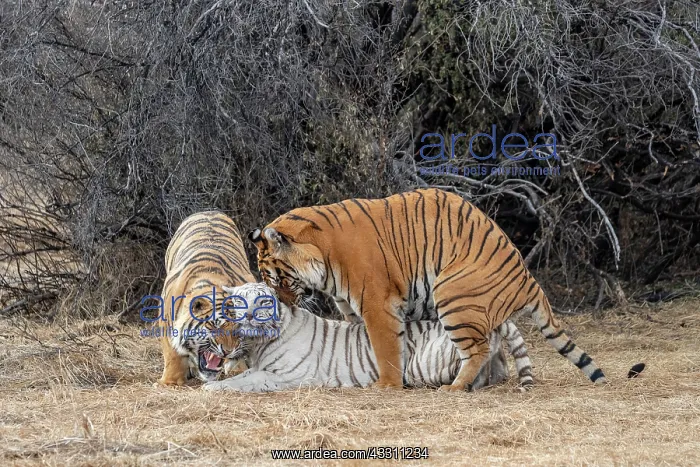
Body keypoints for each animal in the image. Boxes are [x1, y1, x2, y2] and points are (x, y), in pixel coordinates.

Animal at [156, 210, 256, 386]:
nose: (227, 351)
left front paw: (237, 370)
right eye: (214, 327)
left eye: (237, 330)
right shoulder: (166, 321)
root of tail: (210, 210)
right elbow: (173, 352)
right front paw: (170, 381)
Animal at [202, 282, 534, 392]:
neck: (260, 343)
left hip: (424, 363)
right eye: (240, 302)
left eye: (263, 303)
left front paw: (211, 389)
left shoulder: (287, 376)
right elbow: (239, 377)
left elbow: (244, 382)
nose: (247, 317)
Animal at [249, 187, 643, 391]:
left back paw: (455, 388)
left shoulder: (377, 304)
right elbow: (360, 345)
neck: (325, 254)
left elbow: (384, 347)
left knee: (478, 349)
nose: (284, 304)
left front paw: (385, 385)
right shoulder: (352, 308)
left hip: (453, 294)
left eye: (277, 278)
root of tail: (528, 277)